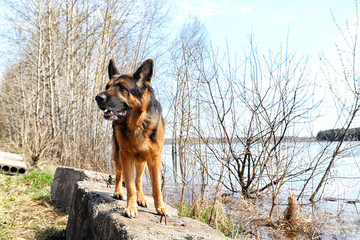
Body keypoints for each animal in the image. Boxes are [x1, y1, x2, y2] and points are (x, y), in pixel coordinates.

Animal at [96, 58, 168, 218]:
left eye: (122, 87)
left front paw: (160, 207)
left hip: (141, 161)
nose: (98, 97)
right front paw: (131, 207)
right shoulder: (126, 156)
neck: (137, 123)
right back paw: (118, 192)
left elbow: (155, 187)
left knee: (139, 180)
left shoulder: (154, 158)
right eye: (107, 86)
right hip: (118, 155)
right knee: (118, 175)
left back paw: (141, 198)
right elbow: (129, 186)